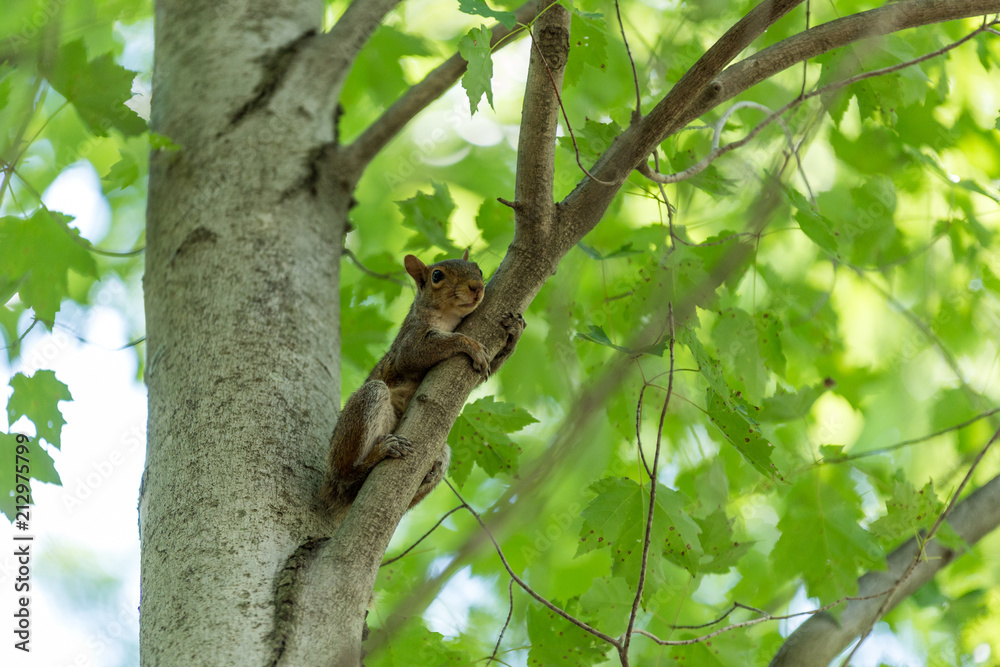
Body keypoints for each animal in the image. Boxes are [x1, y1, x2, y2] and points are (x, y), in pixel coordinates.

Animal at [320, 250, 528, 516]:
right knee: (346, 477)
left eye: (478, 269)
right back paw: (373, 458)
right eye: (436, 276)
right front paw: (468, 343)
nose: (477, 286)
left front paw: (515, 330)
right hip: (364, 411)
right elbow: (417, 353)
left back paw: (432, 470)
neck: (448, 318)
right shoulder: (408, 343)